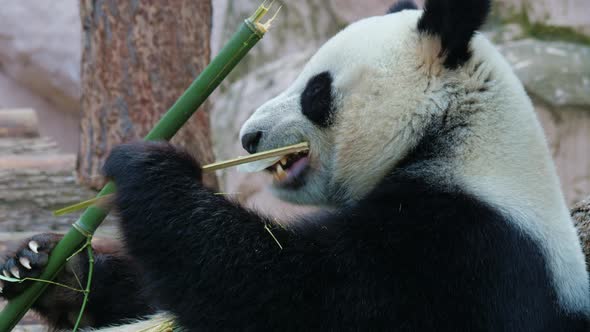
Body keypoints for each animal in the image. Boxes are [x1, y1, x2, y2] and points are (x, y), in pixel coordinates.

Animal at [1, 0, 590, 330]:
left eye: (316, 91)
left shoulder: (463, 251)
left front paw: (146, 166)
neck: (454, 139)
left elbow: (288, 292)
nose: (249, 136)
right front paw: (48, 266)